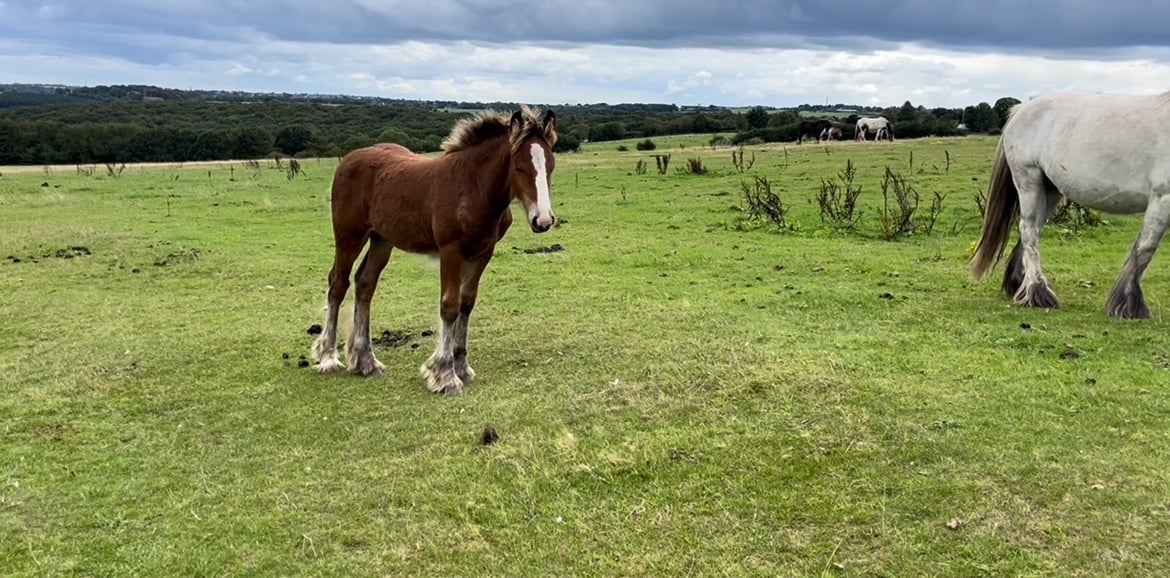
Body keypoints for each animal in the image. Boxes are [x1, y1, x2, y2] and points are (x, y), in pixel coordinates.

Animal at [311, 106, 558, 393]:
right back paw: (328, 357)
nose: (543, 220)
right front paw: (444, 373)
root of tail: (349, 159)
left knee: (365, 284)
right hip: (349, 236)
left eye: (550, 166)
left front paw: (462, 366)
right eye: (519, 168)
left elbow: (467, 303)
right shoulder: (451, 251)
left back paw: (366, 361)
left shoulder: (482, 254)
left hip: (381, 240)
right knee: (338, 284)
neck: (472, 187)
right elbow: (450, 305)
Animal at [971, 91, 1170, 319]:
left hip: (1050, 190)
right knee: (1028, 230)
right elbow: (1146, 248)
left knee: (1033, 229)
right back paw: (1037, 292)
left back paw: (1020, 283)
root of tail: (1021, 109)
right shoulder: (1163, 198)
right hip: (1029, 180)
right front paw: (1128, 305)